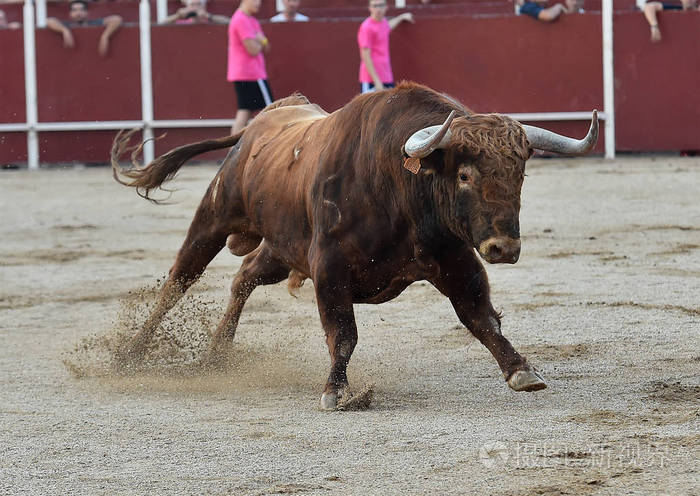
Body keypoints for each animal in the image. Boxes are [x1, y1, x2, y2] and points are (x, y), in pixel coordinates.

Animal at [112, 81, 600, 408]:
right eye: (464, 175)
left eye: (520, 174)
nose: (504, 248)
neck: (396, 183)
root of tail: (258, 126)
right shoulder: (329, 267)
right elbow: (342, 332)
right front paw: (337, 391)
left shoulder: (455, 258)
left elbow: (482, 318)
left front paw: (521, 370)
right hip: (215, 217)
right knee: (179, 281)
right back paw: (129, 354)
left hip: (283, 248)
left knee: (244, 276)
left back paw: (217, 353)